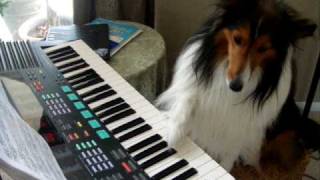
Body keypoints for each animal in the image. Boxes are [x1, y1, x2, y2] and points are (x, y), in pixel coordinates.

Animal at [156, 0, 318, 172]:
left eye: (263, 48)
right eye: (237, 39)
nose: (235, 86)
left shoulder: (239, 133)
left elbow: (227, 160)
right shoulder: (191, 85)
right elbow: (187, 97)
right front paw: (173, 132)